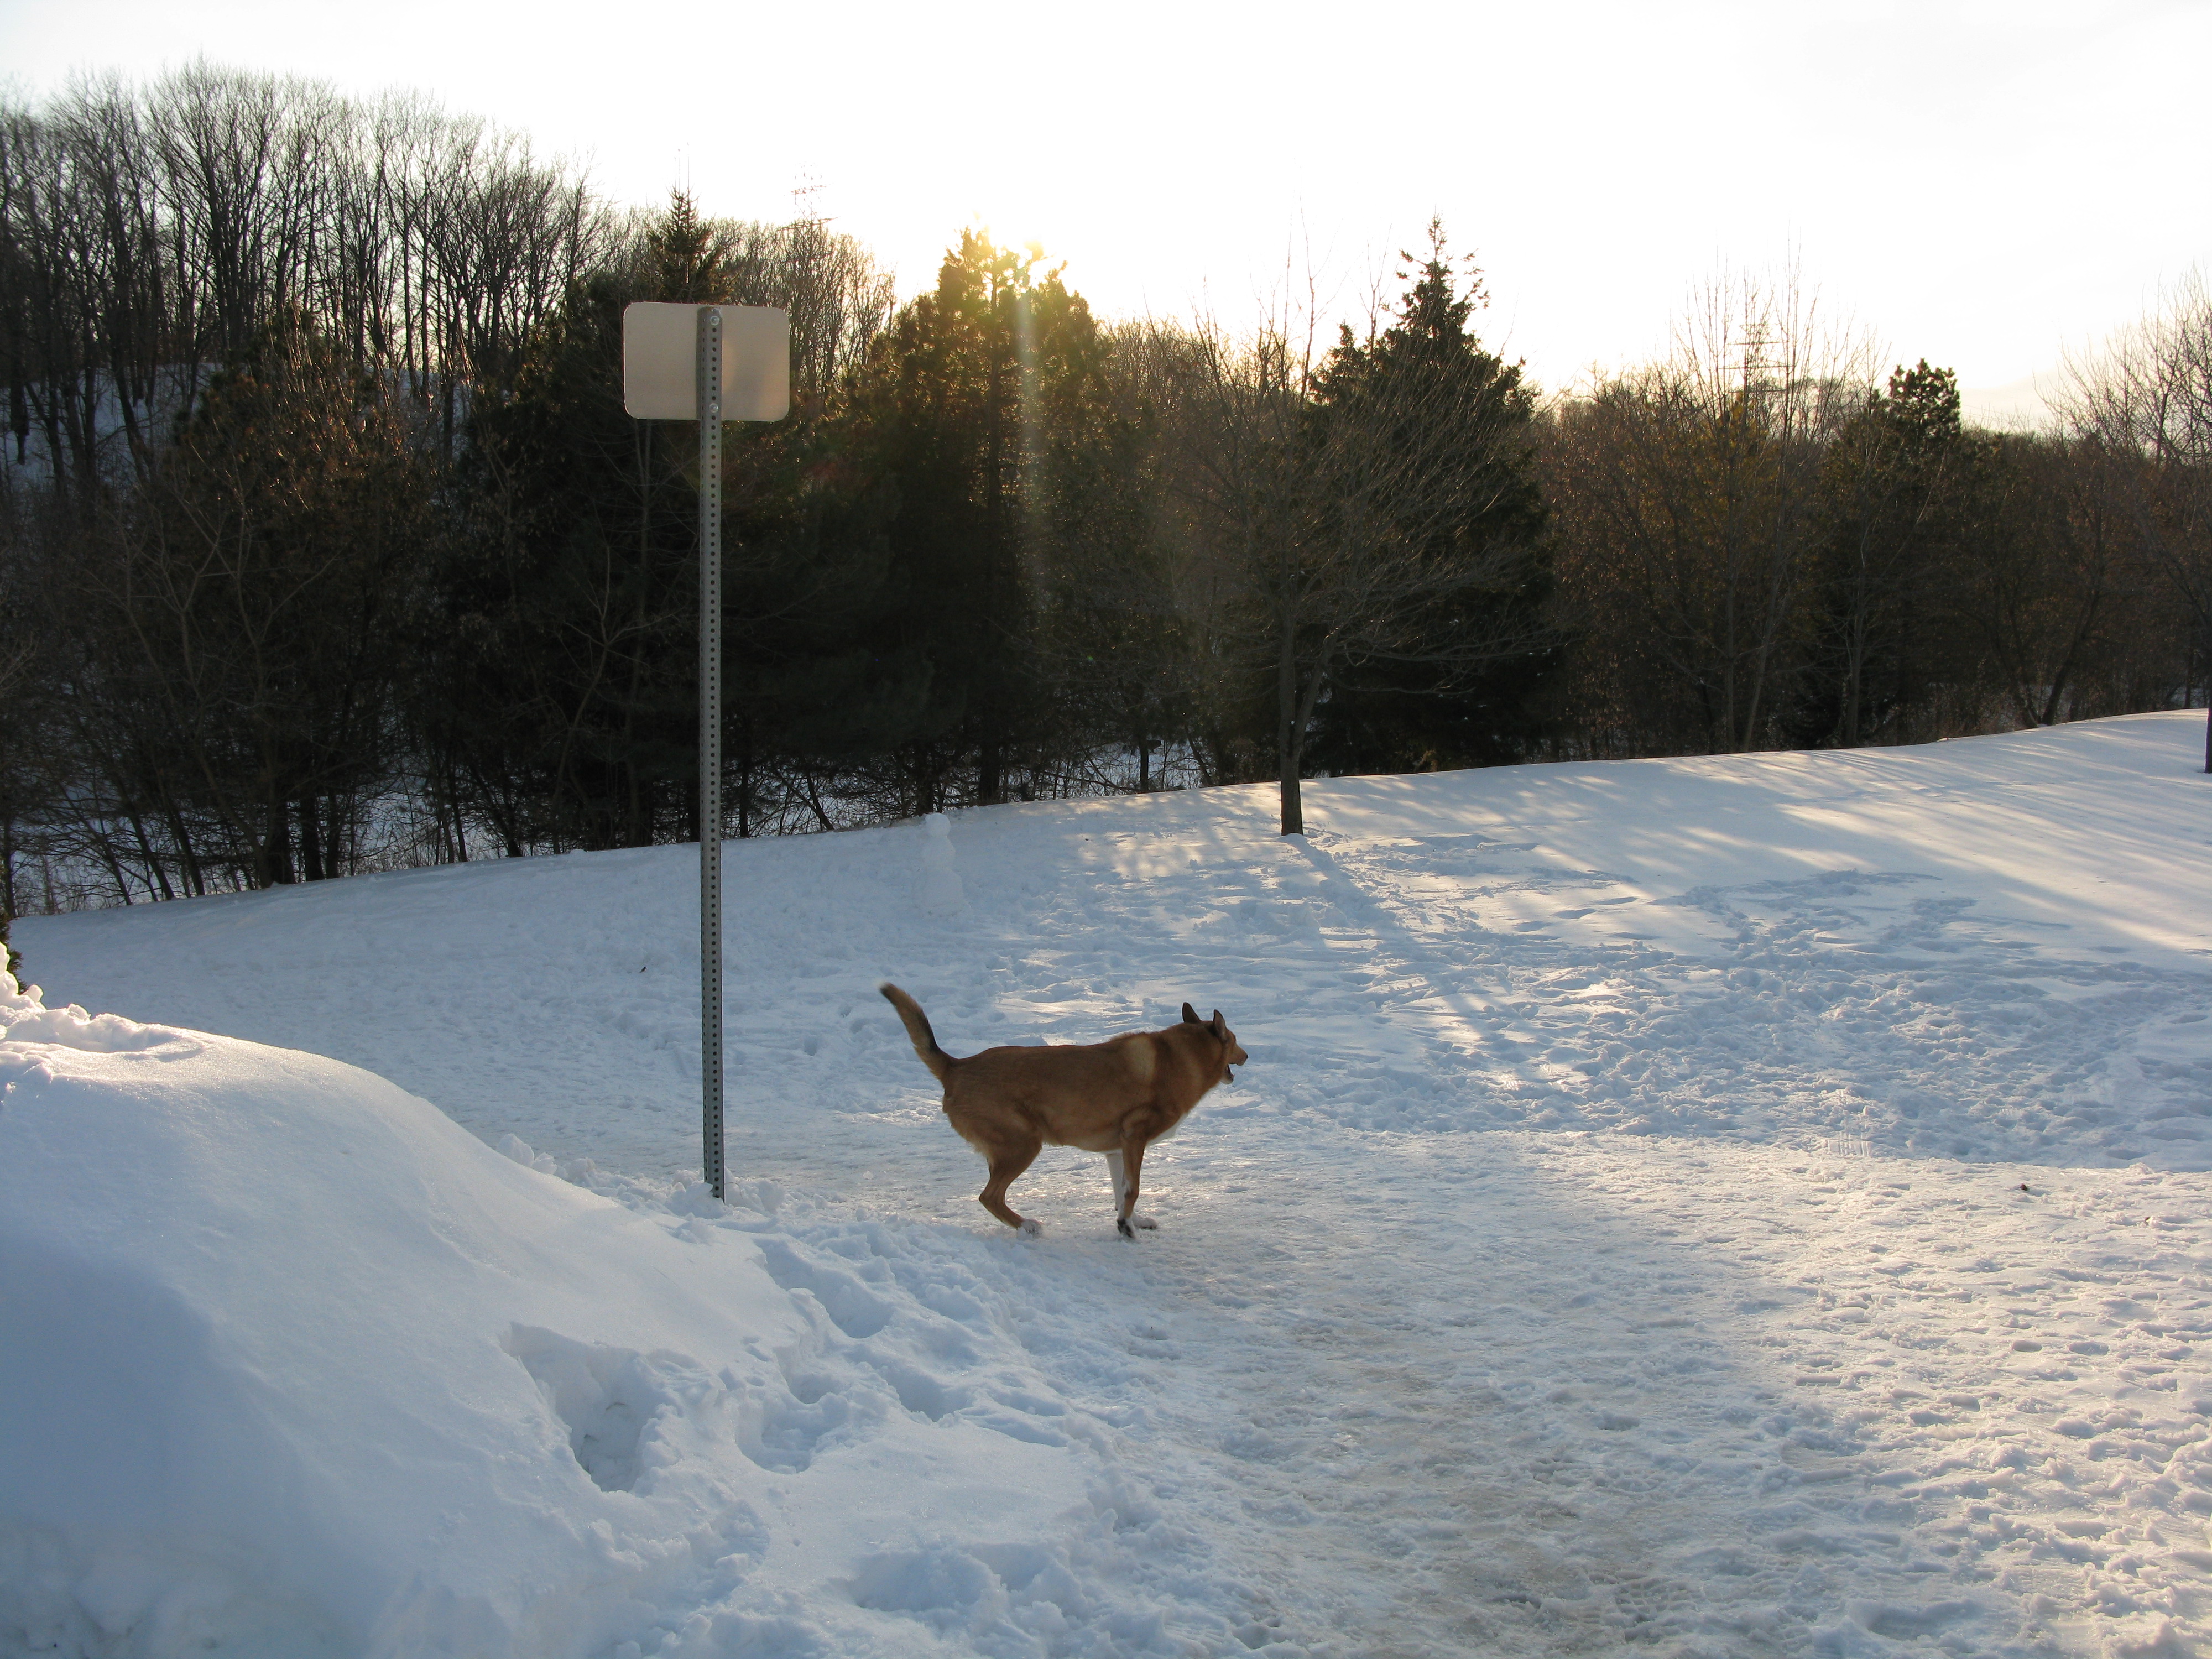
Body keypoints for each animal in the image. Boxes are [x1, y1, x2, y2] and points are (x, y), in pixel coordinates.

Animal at [879, 983, 1248, 1238]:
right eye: (1233, 1039)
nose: (1247, 1056)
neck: (1182, 1057)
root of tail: (956, 1067)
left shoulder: (1118, 1150)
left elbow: (1122, 1192)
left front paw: (1130, 1220)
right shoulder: (1135, 1137)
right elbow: (1134, 1189)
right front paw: (1127, 1229)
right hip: (1023, 1146)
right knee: (989, 1197)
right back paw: (1027, 1226)